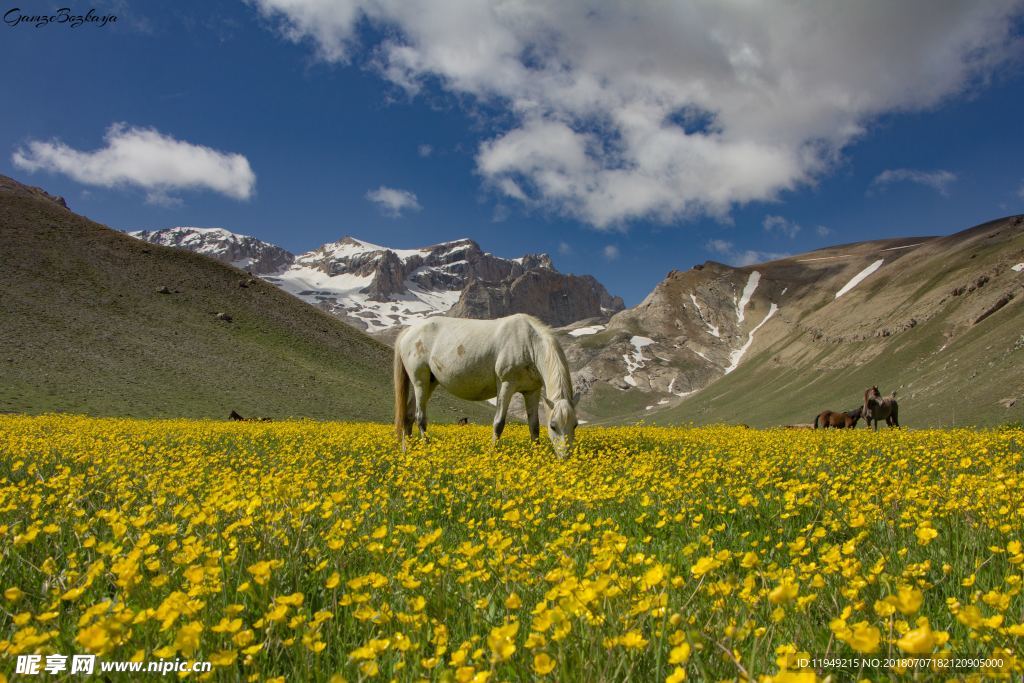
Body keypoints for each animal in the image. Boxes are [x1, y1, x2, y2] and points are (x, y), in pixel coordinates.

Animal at [395, 317, 581, 458]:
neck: (528, 343)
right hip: (420, 382)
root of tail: (408, 332)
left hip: (429, 384)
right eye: (553, 426)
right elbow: (499, 423)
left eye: (575, 425)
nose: (566, 457)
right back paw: (426, 450)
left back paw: (408, 451)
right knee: (420, 417)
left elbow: (534, 427)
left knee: (408, 416)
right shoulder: (506, 385)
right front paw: (493, 454)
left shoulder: (532, 391)